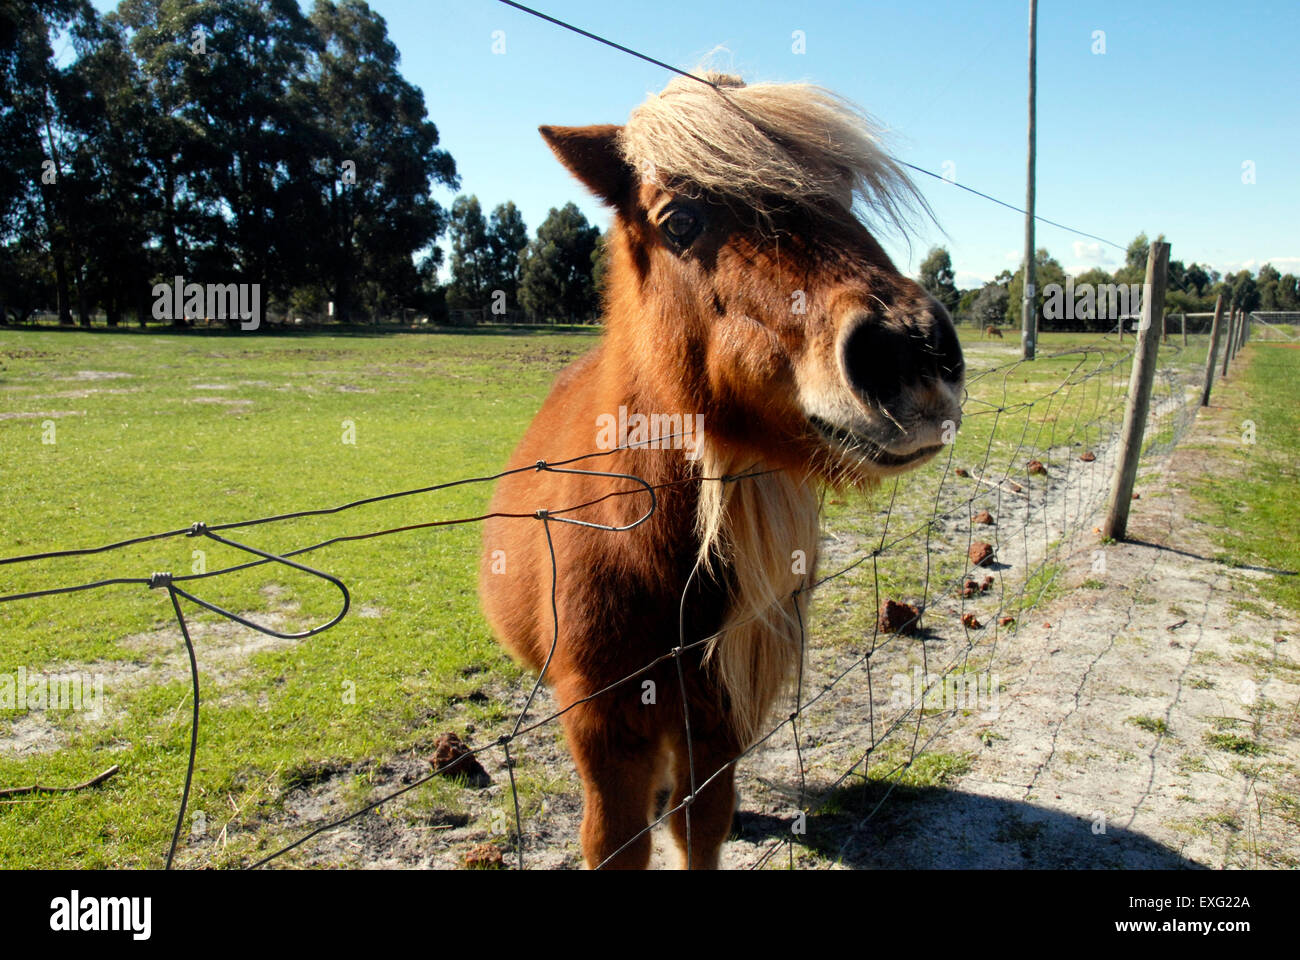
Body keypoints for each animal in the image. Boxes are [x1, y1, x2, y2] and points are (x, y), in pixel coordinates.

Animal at [479, 73, 964, 869]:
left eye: (841, 190)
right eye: (679, 221)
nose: (912, 351)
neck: (639, 542)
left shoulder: (718, 713)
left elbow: (700, 825)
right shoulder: (603, 723)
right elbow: (616, 842)